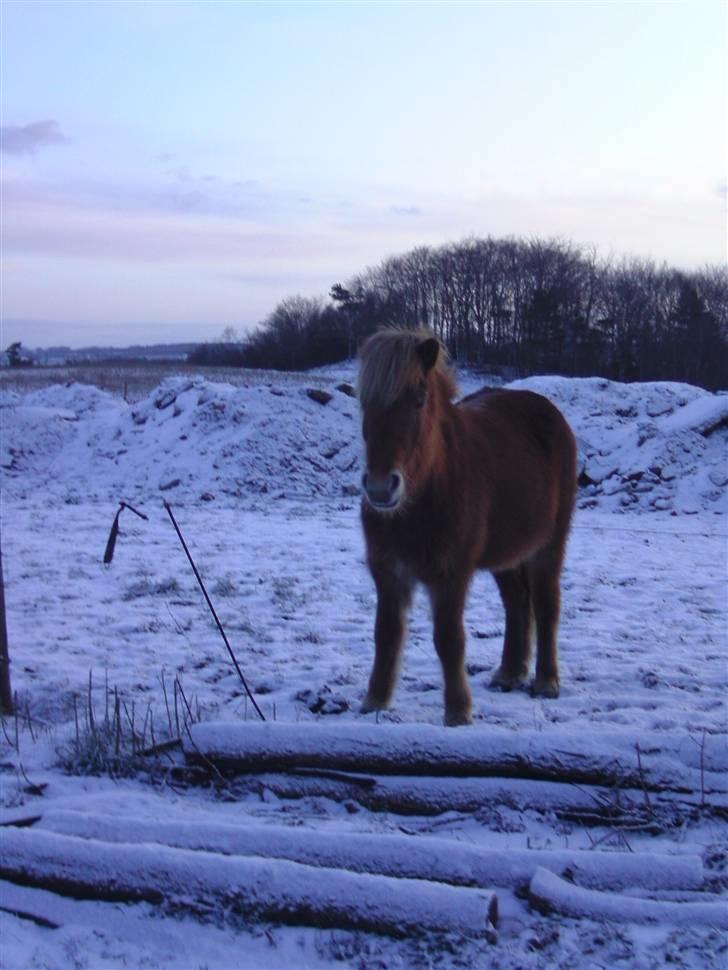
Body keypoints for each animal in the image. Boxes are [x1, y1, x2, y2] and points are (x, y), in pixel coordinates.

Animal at [357, 327, 577, 726]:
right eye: (365, 401)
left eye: (419, 398)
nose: (381, 488)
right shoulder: (387, 571)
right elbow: (386, 633)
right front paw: (375, 701)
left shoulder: (451, 575)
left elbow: (449, 639)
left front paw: (458, 711)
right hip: (506, 554)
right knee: (517, 602)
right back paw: (509, 673)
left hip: (549, 545)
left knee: (546, 604)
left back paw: (546, 681)